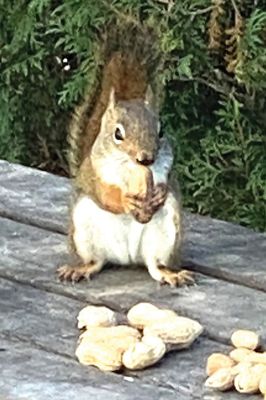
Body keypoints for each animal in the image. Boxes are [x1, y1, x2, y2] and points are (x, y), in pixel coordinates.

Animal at [57, 22, 193, 288]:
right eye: (117, 134)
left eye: (161, 131)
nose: (146, 158)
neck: (132, 170)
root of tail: (127, 258)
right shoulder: (97, 173)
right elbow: (107, 195)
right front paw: (126, 201)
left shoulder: (167, 167)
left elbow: (167, 183)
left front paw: (159, 193)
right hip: (83, 230)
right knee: (96, 261)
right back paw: (80, 268)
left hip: (167, 234)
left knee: (155, 265)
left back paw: (170, 273)